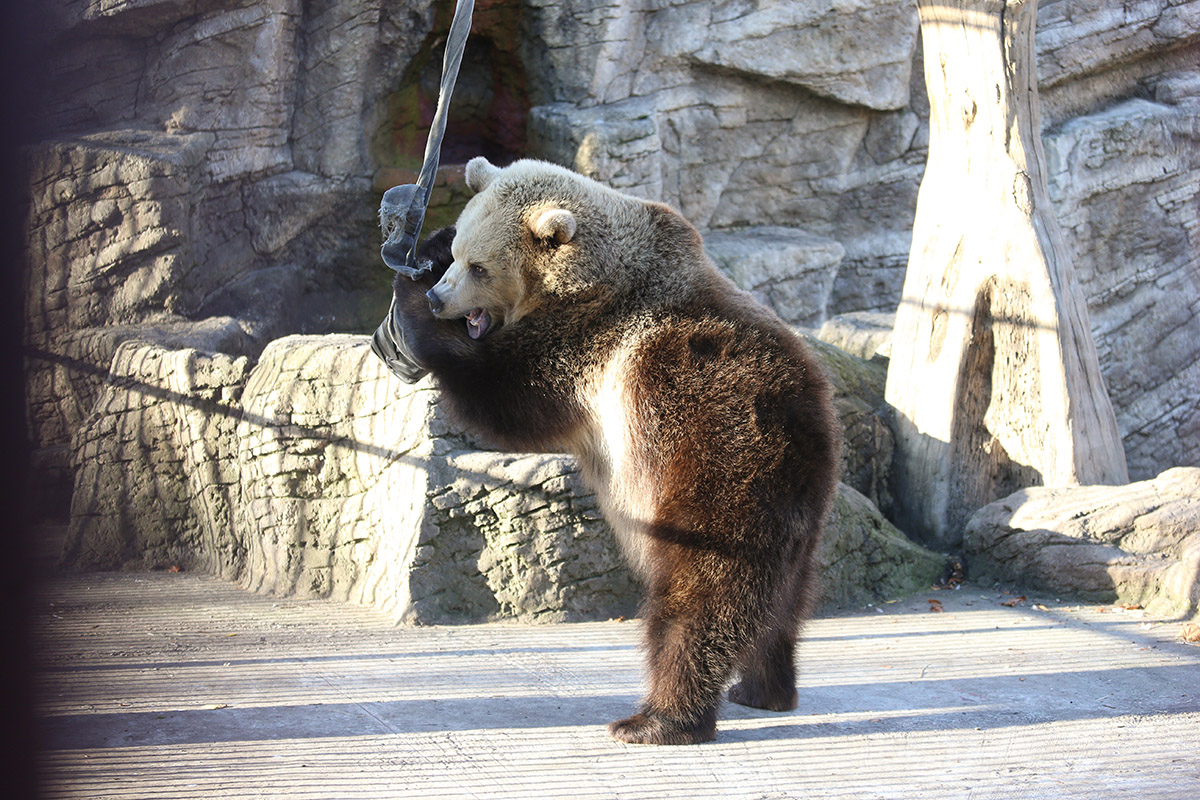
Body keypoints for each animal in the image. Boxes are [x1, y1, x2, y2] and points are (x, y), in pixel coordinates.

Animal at [388, 155, 840, 743]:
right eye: (462, 248)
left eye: (481, 267)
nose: (441, 297)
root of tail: (804, 431)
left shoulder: (590, 351)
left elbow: (506, 396)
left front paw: (413, 304)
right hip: (801, 514)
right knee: (785, 606)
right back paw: (764, 689)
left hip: (717, 468)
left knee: (700, 599)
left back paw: (658, 719)